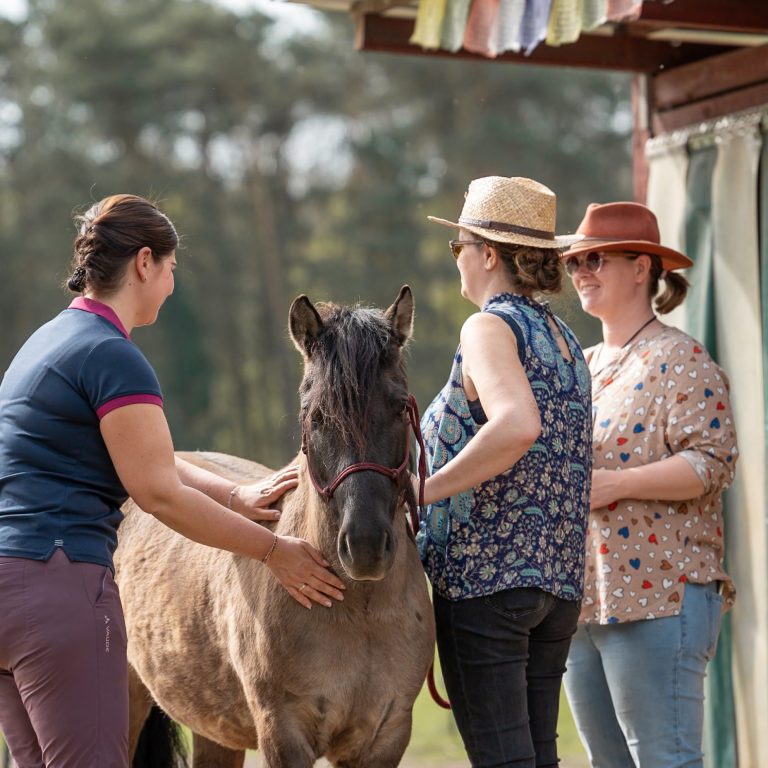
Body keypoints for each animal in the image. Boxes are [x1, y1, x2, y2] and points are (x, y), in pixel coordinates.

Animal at [115, 286, 436, 767]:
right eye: (316, 415)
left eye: (399, 408)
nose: (364, 545)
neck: (358, 610)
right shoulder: (284, 732)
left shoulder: (385, 735)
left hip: (217, 732)